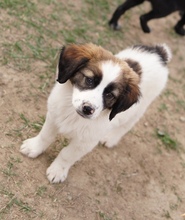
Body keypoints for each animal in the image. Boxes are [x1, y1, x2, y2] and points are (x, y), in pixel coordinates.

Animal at [20, 42, 172, 182]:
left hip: (140, 108)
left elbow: (67, 154)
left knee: (126, 126)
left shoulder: (86, 142)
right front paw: (34, 148)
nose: (88, 109)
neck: (73, 115)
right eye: (89, 80)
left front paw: (57, 170)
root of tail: (159, 53)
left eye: (110, 95)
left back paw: (111, 138)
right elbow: (45, 136)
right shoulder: (53, 117)